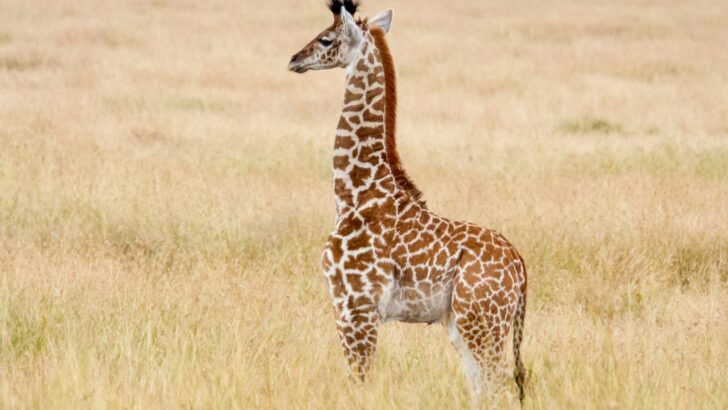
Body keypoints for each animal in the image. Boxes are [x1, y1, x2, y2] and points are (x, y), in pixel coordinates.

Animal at [288, 1, 528, 404]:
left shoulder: (355, 306)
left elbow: (360, 382)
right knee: (481, 388)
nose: (294, 59)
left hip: (482, 323)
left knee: (499, 389)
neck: (355, 194)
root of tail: (522, 269)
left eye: (326, 39)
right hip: (464, 324)